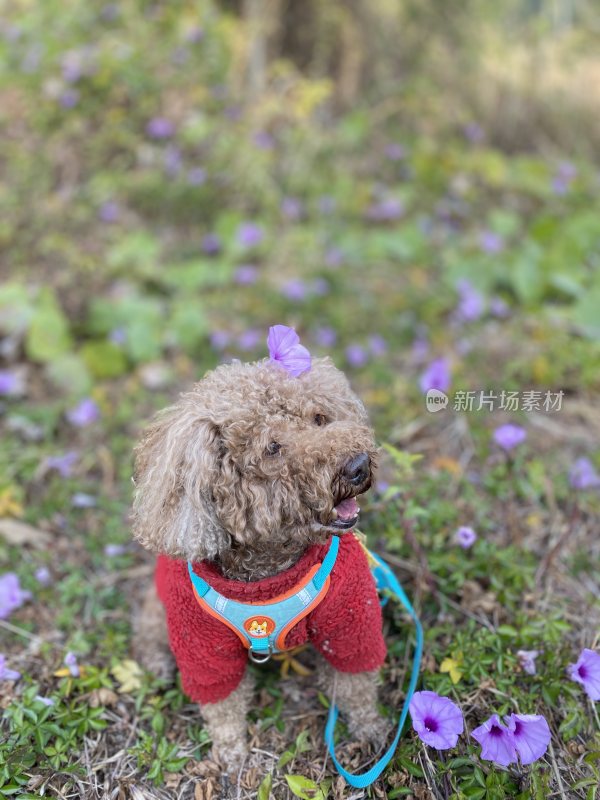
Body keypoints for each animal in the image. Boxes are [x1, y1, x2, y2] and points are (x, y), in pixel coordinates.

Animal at [130, 354, 390, 776]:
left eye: (319, 418)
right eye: (273, 447)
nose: (358, 466)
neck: (267, 577)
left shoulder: (350, 613)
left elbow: (357, 679)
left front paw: (372, 729)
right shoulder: (200, 641)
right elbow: (221, 703)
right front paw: (231, 751)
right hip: (161, 605)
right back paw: (156, 661)